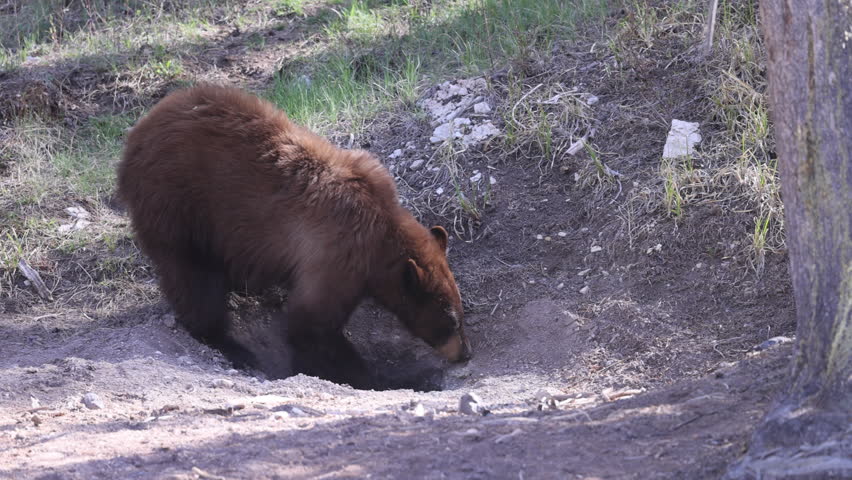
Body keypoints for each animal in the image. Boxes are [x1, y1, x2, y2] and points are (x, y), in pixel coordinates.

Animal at [117, 84, 471, 390]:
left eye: (460, 312)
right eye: (451, 321)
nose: (466, 354)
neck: (381, 232)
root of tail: (137, 134)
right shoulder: (339, 254)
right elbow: (311, 325)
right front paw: (364, 376)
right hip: (177, 205)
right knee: (193, 278)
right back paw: (230, 344)